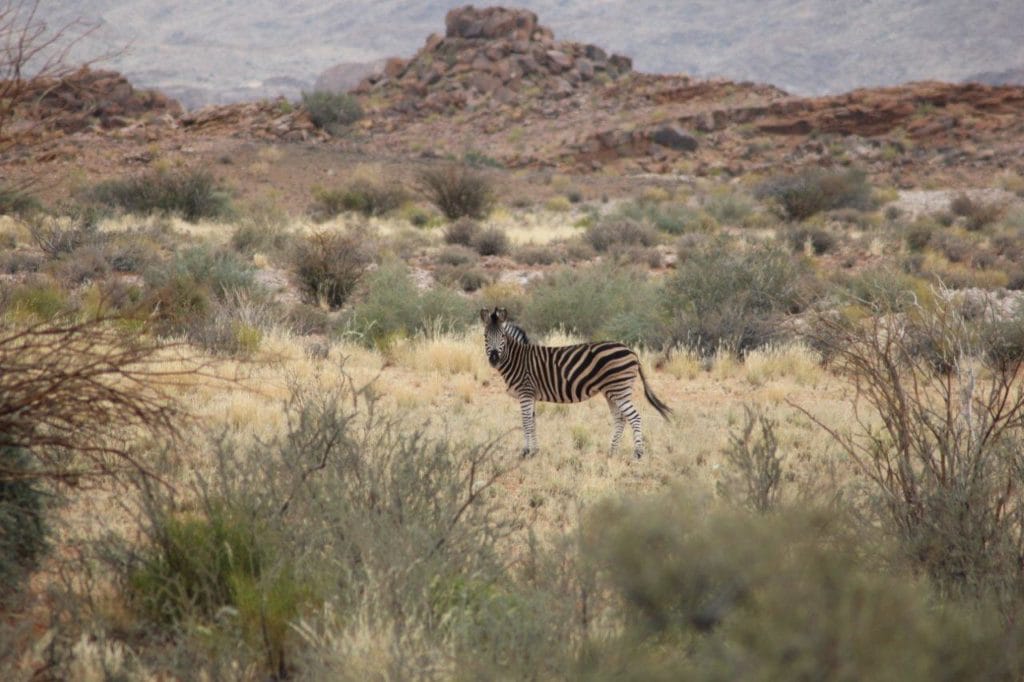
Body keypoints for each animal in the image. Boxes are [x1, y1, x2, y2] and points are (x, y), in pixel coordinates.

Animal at [479, 307, 671, 456]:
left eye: (502, 336)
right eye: (485, 337)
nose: (494, 359)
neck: (517, 359)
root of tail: (632, 352)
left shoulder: (525, 392)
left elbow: (526, 422)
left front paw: (527, 452)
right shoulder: (530, 395)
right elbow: (532, 422)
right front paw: (534, 450)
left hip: (619, 389)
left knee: (635, 417)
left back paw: (638, 453)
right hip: (611, 392)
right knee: (620, 419)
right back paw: (612, 452)